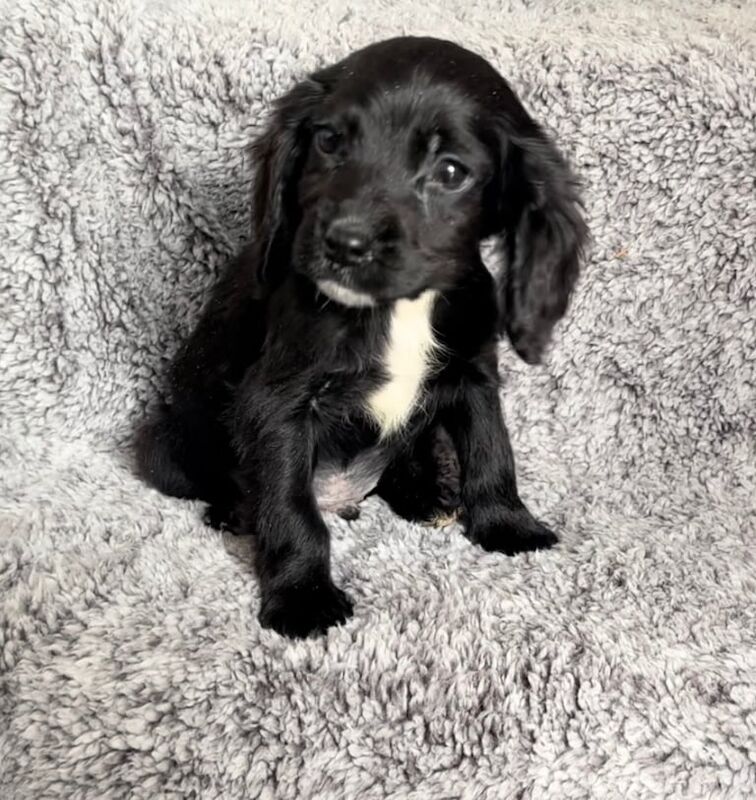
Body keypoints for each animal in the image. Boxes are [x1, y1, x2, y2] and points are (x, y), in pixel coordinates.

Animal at [136, 36, 588, 636]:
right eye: (329, 141)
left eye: (451, 172)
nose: (344, 244)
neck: (399, 310)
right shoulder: (278, 404)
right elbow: (290, 506)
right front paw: (302, 596)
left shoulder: (474, 377)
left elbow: (492, 452)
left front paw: (507, 525)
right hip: (164, 445)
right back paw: (233, 512)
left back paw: (424, 493)